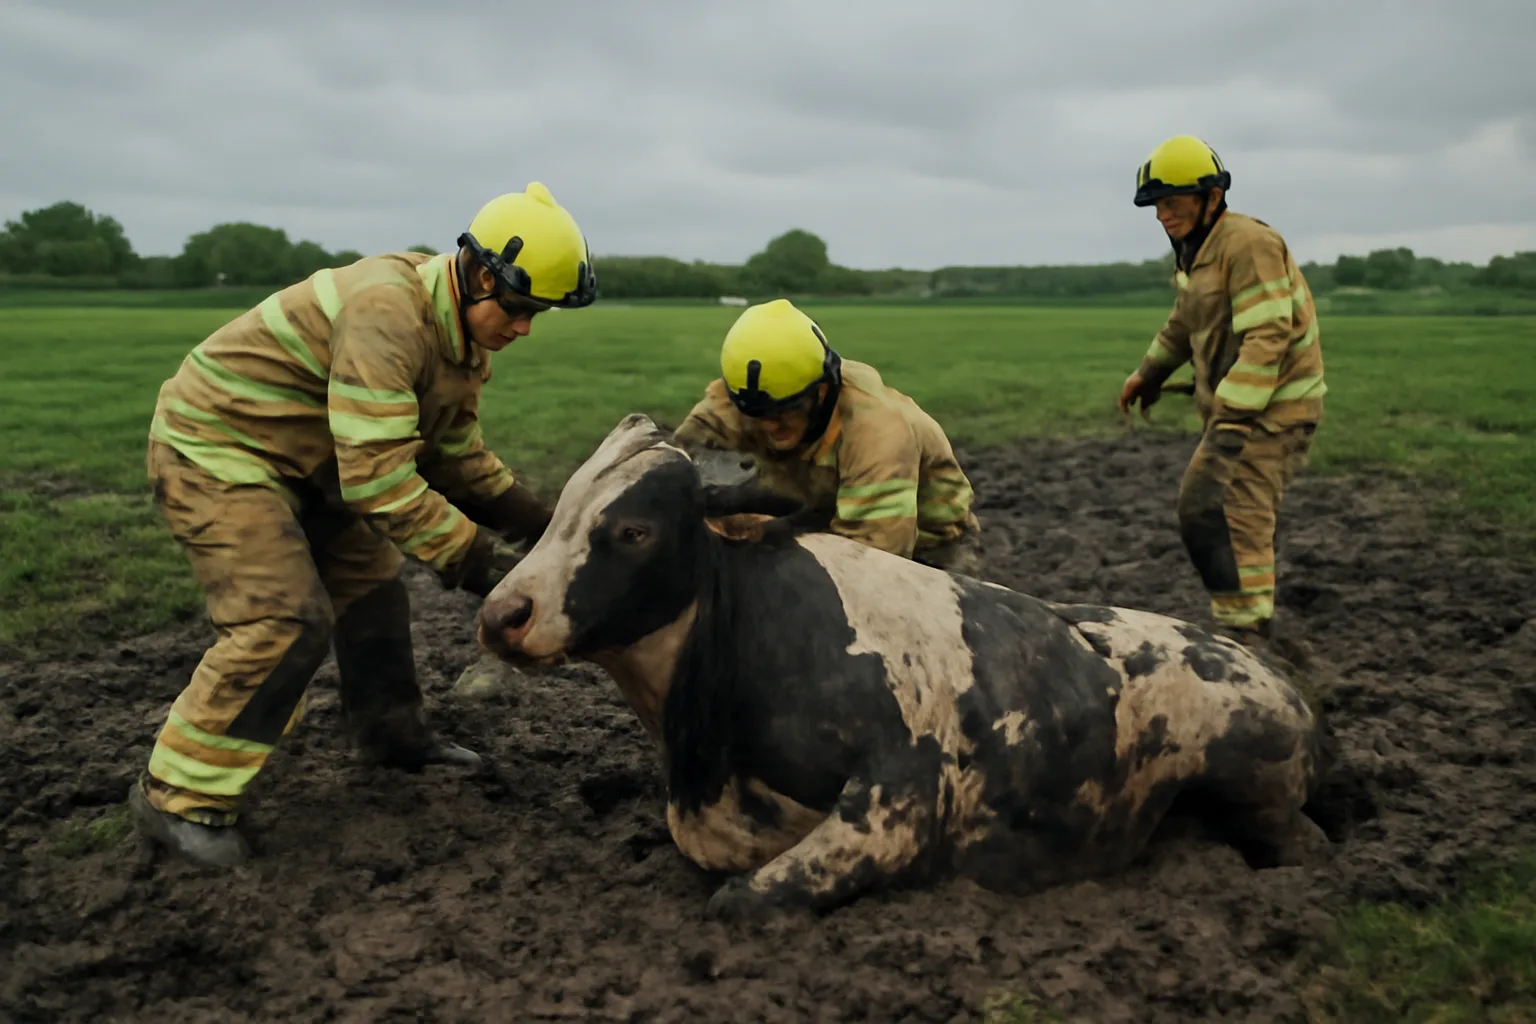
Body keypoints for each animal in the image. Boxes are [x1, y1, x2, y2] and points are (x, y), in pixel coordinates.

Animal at [476, 413, 1333, 920]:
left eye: (632, 530)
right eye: (559, 509)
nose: (501, 614)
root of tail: (1278, 682)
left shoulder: (896, 804)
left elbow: (734, 901)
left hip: (1254, 785)